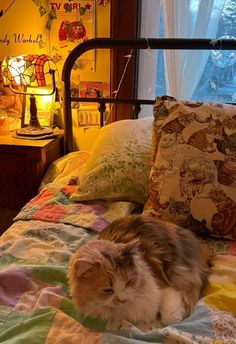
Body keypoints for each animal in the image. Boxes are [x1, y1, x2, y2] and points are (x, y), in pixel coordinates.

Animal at [67, 215, 209, 330]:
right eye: (107, 290)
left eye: (129, 281)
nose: (123, 299)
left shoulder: (166, 283)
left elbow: (169, 317)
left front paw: (176, 317)